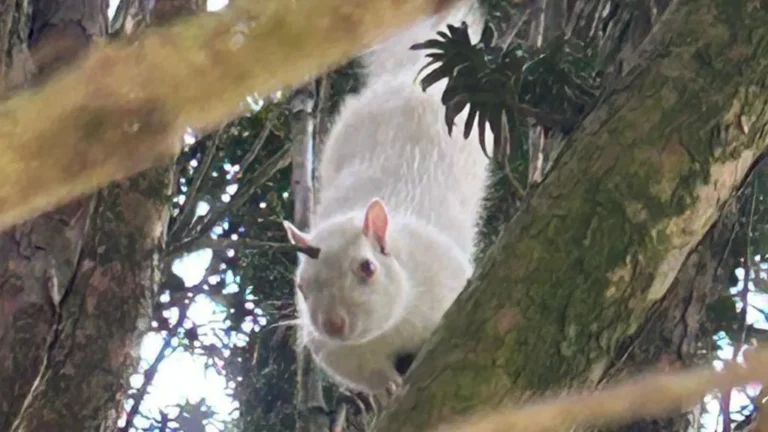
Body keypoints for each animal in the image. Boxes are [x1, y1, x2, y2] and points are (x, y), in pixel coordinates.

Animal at [282, 0, 490, 398]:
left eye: (367, 267)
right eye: (301, 286)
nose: (332, 324)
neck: (390, 328)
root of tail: (405, 78)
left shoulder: (444, 284)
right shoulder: (340, 353)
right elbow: (364, 371)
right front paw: (388, 387)